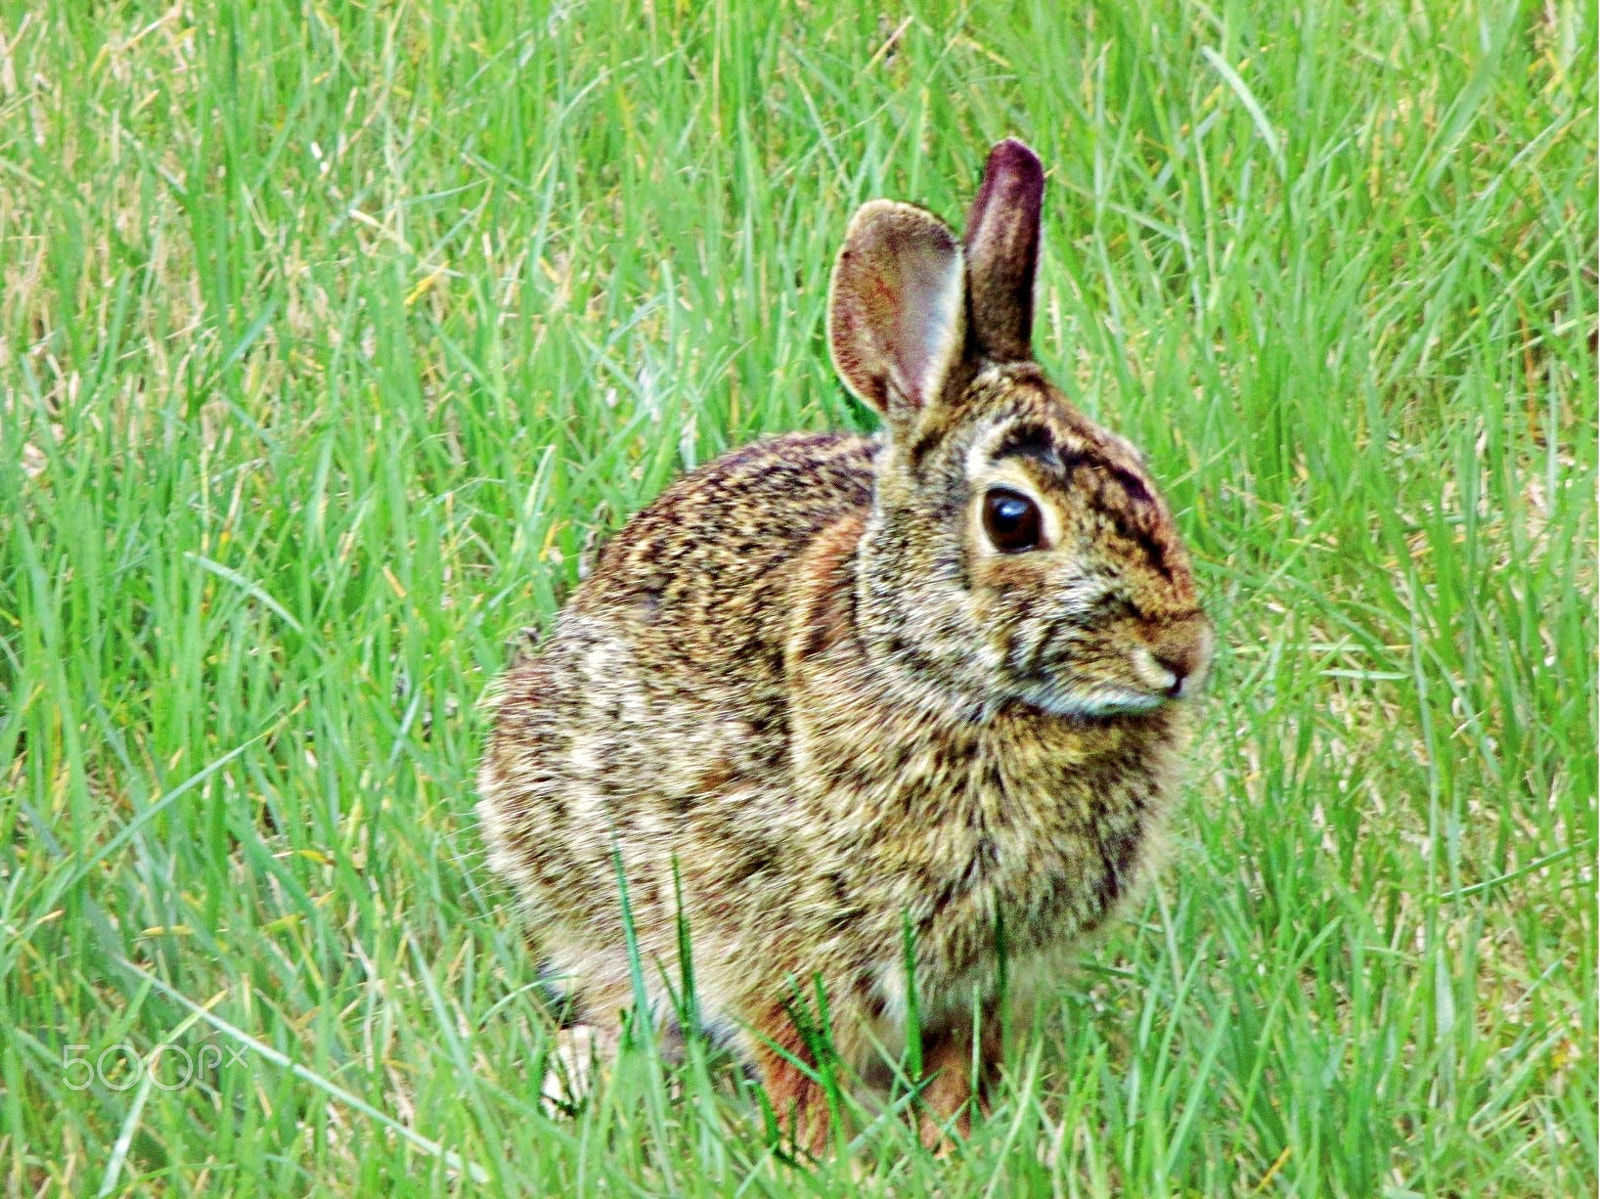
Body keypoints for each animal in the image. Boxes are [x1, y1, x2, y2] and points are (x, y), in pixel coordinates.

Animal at [473, 137, 1209, 1152]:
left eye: (1141, 475)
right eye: (1012, 518)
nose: (1180, 654)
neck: (935, 676)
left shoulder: (989, 974)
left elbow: (961, 1055)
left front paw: (948, 1142)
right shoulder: (752, 929)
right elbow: (788, 1047)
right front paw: (822, 1152)